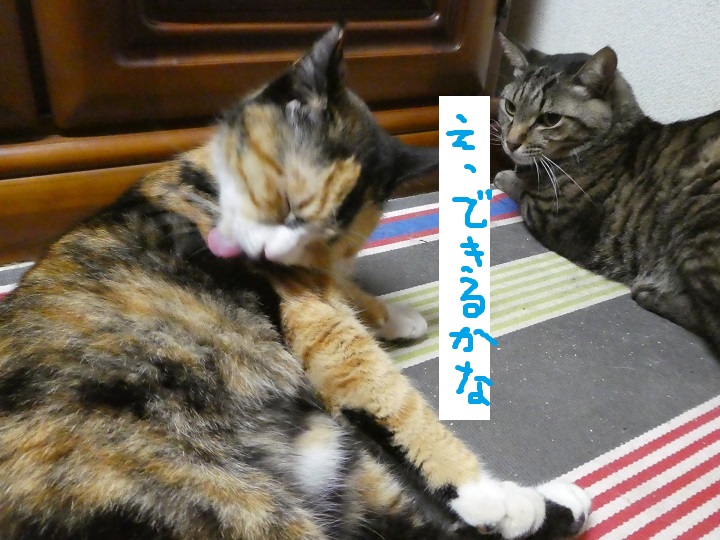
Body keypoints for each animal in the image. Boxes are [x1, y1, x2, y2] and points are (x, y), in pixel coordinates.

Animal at [0, 25, 590, 539]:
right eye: (281, 199)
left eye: (329, 233)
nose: (268, 252)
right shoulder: (314, 319)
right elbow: (388, 392)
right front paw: (480, 490)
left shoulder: (315, 280)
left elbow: (346, 294)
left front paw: (397, 316)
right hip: (236, 503)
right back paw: (516, 501)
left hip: (344, 465)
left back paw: (556, 503)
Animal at [494, 33, 720, 354]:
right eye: (511, 107)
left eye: (550, 119)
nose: (510, 142)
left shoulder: (549, 215)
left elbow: (520, 187)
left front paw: (505, 175)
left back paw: (652, 294)